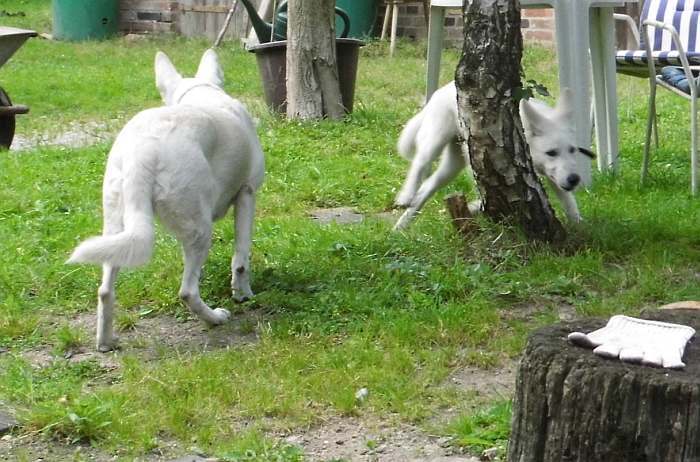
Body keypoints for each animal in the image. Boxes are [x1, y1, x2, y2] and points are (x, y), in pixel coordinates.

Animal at [68, 50, 266, 352]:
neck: (201, 92)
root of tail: (143, 151)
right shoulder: (247, 194)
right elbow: (241, 258)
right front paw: (243, 294)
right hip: (200, 229)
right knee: (187, 291)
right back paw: (215, 318)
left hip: (116, 229)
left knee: (104, 290)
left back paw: (105, 342)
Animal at [392, 82, 592, 230]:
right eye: (551, 152)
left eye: (573, 150)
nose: (575, 179)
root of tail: (442, 89)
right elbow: (487, 191)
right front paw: (478, 207)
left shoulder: (556, 177)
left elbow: (568, 200)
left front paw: (578, 224)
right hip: (435, 141)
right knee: (419, 163)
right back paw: (406, 196)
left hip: (452, 165)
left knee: (427, 186)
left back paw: (401, 226)